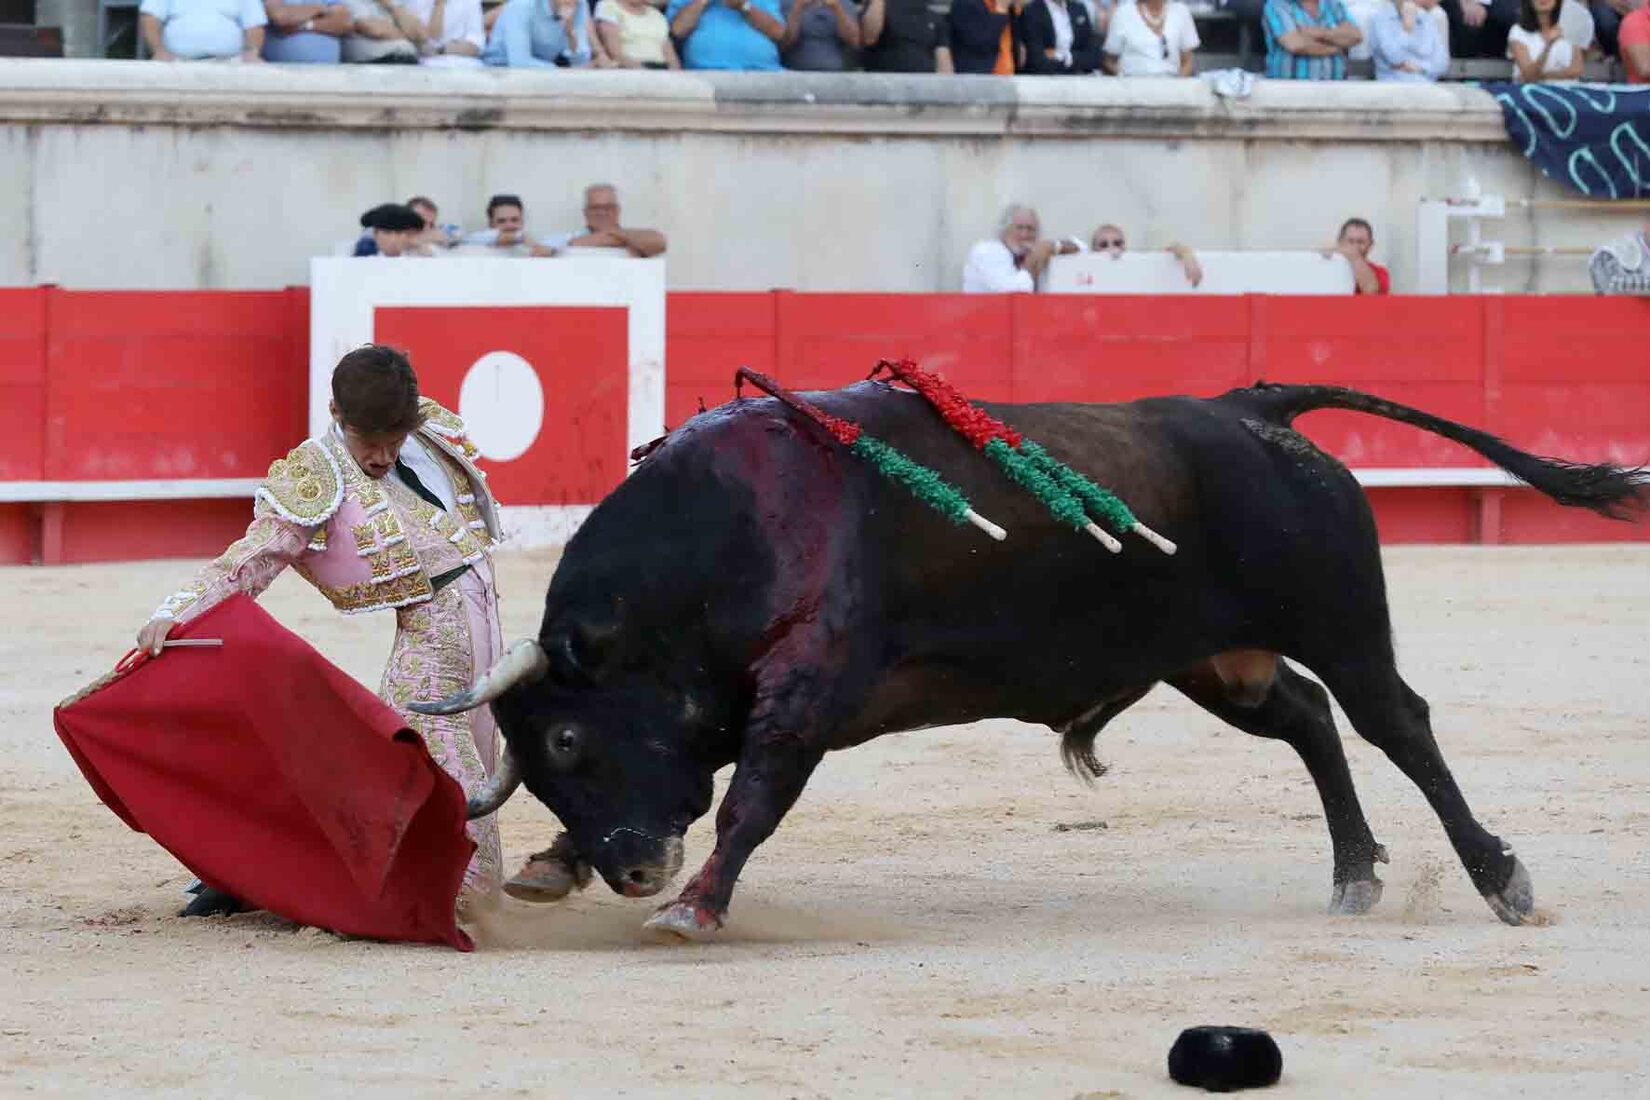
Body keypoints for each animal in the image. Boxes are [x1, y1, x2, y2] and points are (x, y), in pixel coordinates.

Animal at [415, 380, 1650, 936]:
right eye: (543, 759)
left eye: (570, 733)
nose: (632, 869)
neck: (728, 540)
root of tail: (1245, 405)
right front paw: (553, 865)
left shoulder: (806, 697)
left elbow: (750, 800)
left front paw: (694, 909)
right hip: (1218, 659)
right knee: (1305, 718)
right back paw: (1354, 873)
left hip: (1338, 621)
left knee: (1397, 721)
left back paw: (1499, 878)